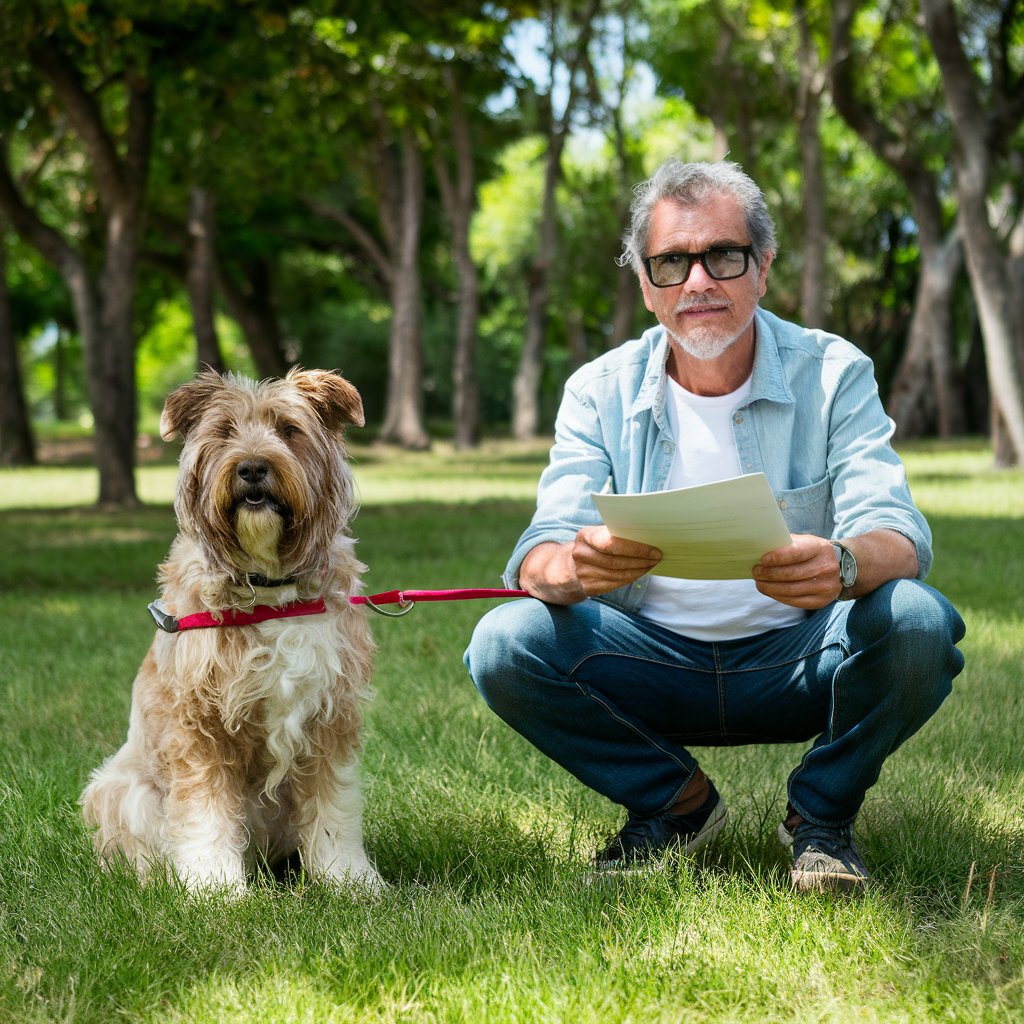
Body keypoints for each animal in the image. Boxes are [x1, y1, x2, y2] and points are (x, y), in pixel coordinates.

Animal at [81, 366, 380, 888]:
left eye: (289, 430)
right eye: (223, 433)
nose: (253, 467)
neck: (269, 590)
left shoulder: (329, 717)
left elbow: (333, 809)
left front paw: (349, 880)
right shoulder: (199, 725)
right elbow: (205, 815)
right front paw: (215, 889)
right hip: (121, 789)